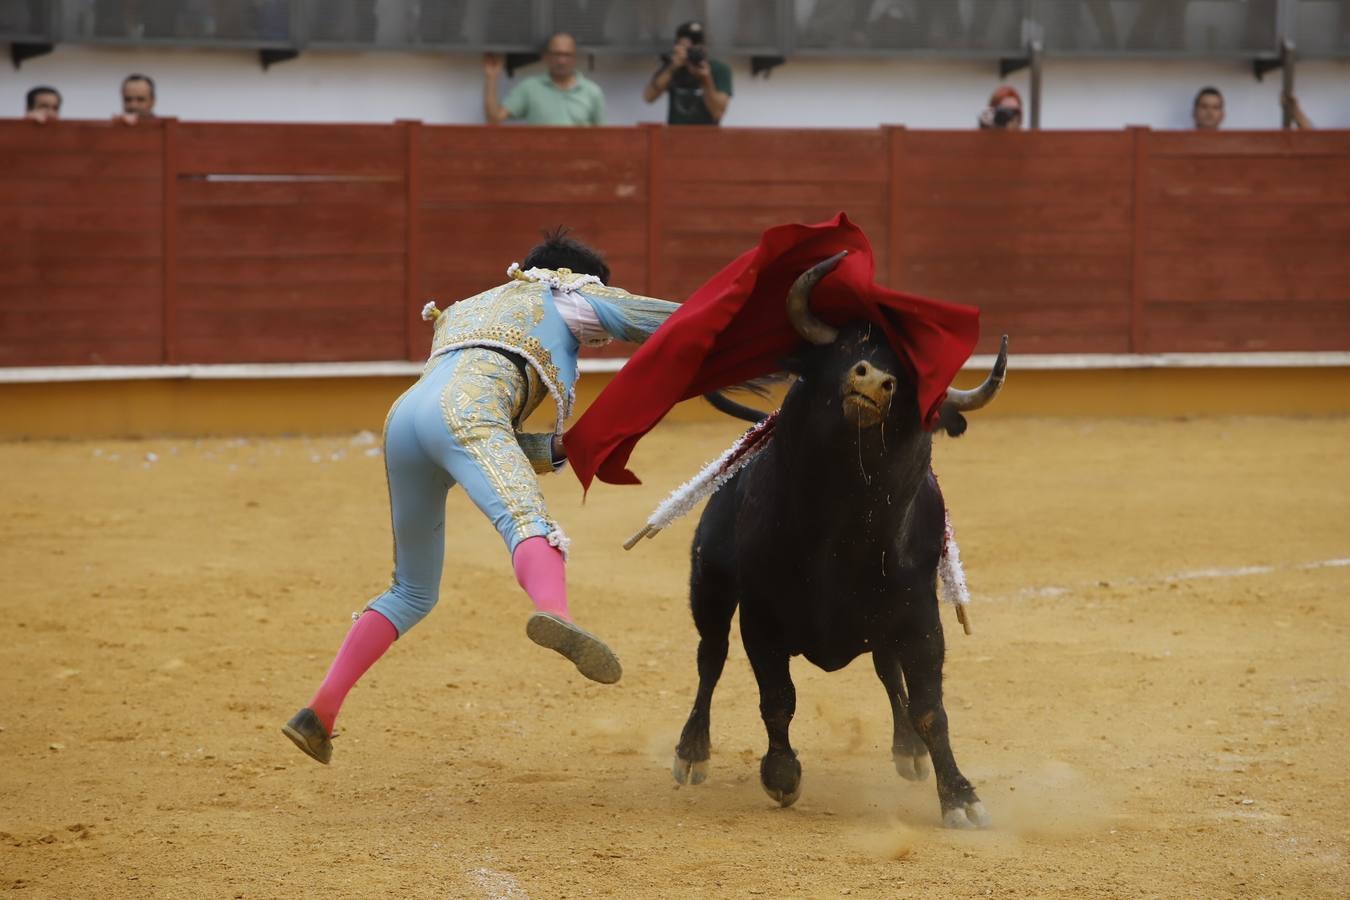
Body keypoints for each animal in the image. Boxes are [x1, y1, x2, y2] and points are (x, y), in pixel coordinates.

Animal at [672, 253, 1004, 831]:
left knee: (887, 671)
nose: (875, 381)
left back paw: (907, 751)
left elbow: (929, 706)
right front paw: (782, 775)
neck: (840, 526)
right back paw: (692, 751)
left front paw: (960, 795)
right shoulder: (761, 615)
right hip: (709, 584)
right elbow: (777, 697)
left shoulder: (920, 618)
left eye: (913, 378)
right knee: (710, 656)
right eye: (848, 349)